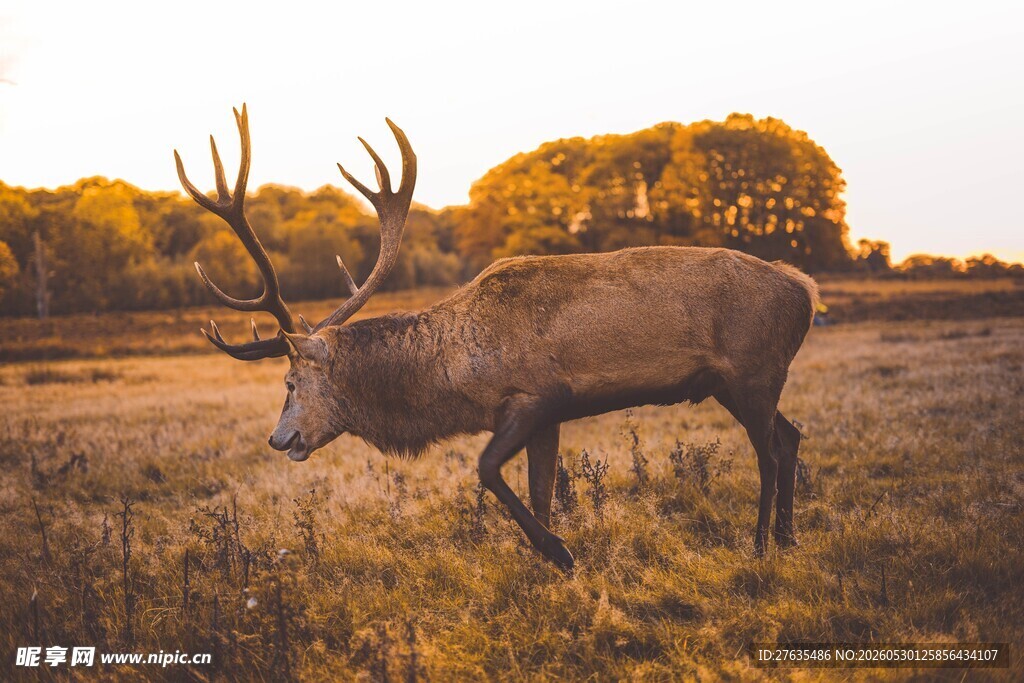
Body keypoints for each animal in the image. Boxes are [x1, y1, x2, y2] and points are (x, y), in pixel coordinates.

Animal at [175, 106, 818, 570]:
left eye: (288, 382)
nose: (278, 439)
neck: (453, 376)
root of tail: (806, 291)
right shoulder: (548, 417)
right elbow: (540, 489)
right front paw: (550, 559)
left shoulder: (535, 395)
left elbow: (487, 470)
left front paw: (560, 553)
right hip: (744, 382)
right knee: (790, 436)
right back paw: (789, 538)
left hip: (751, 372)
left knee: (769, 449)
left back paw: (761, 543)